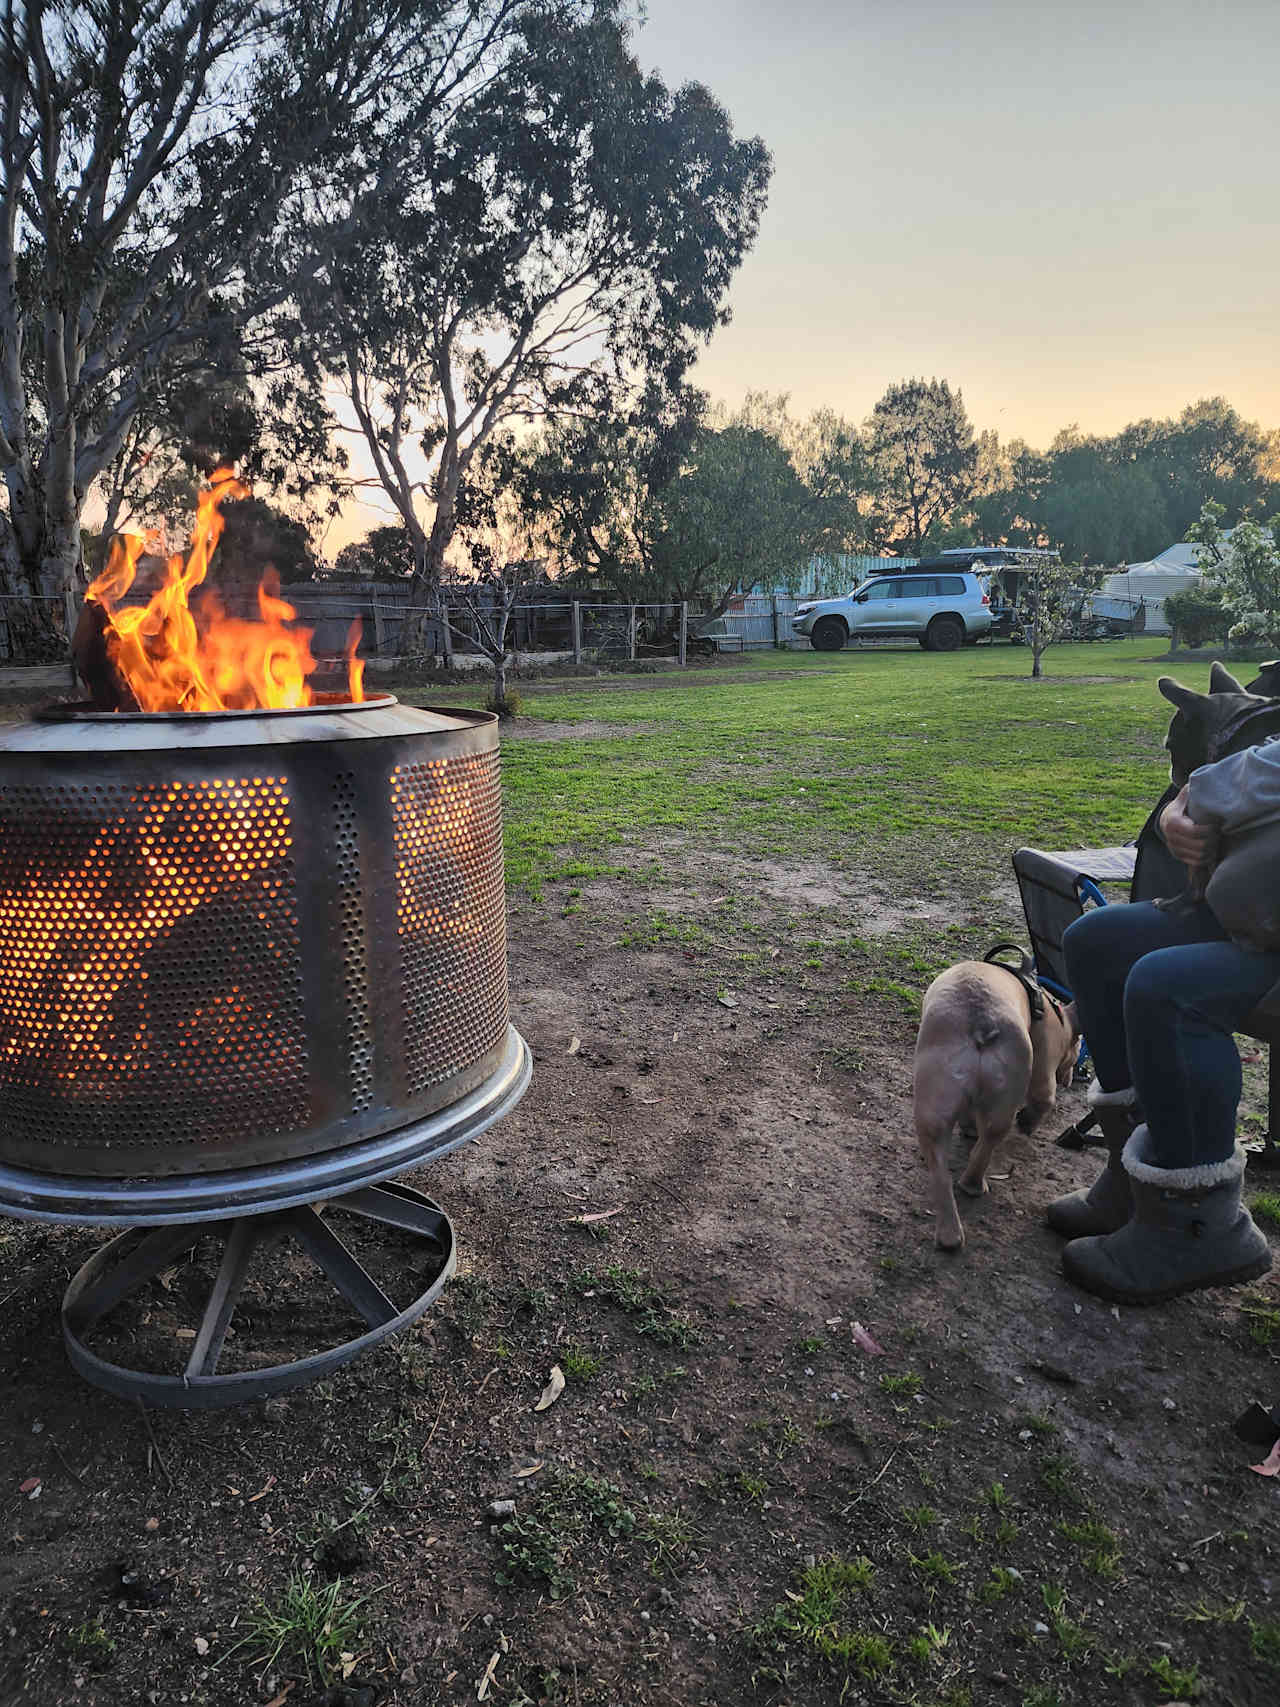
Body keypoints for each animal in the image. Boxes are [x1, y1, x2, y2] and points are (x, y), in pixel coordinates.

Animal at [914, 962, 1085, 1256]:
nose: (1072, 1075)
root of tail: (980, 1022)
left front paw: (969, 1128)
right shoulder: (1044, 1067)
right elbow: (1043, 1100)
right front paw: (1027, 1123)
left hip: (934, 1104)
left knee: (946, 1167)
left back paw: (951, 1231)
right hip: (1017, 1079)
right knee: (998, 1133)